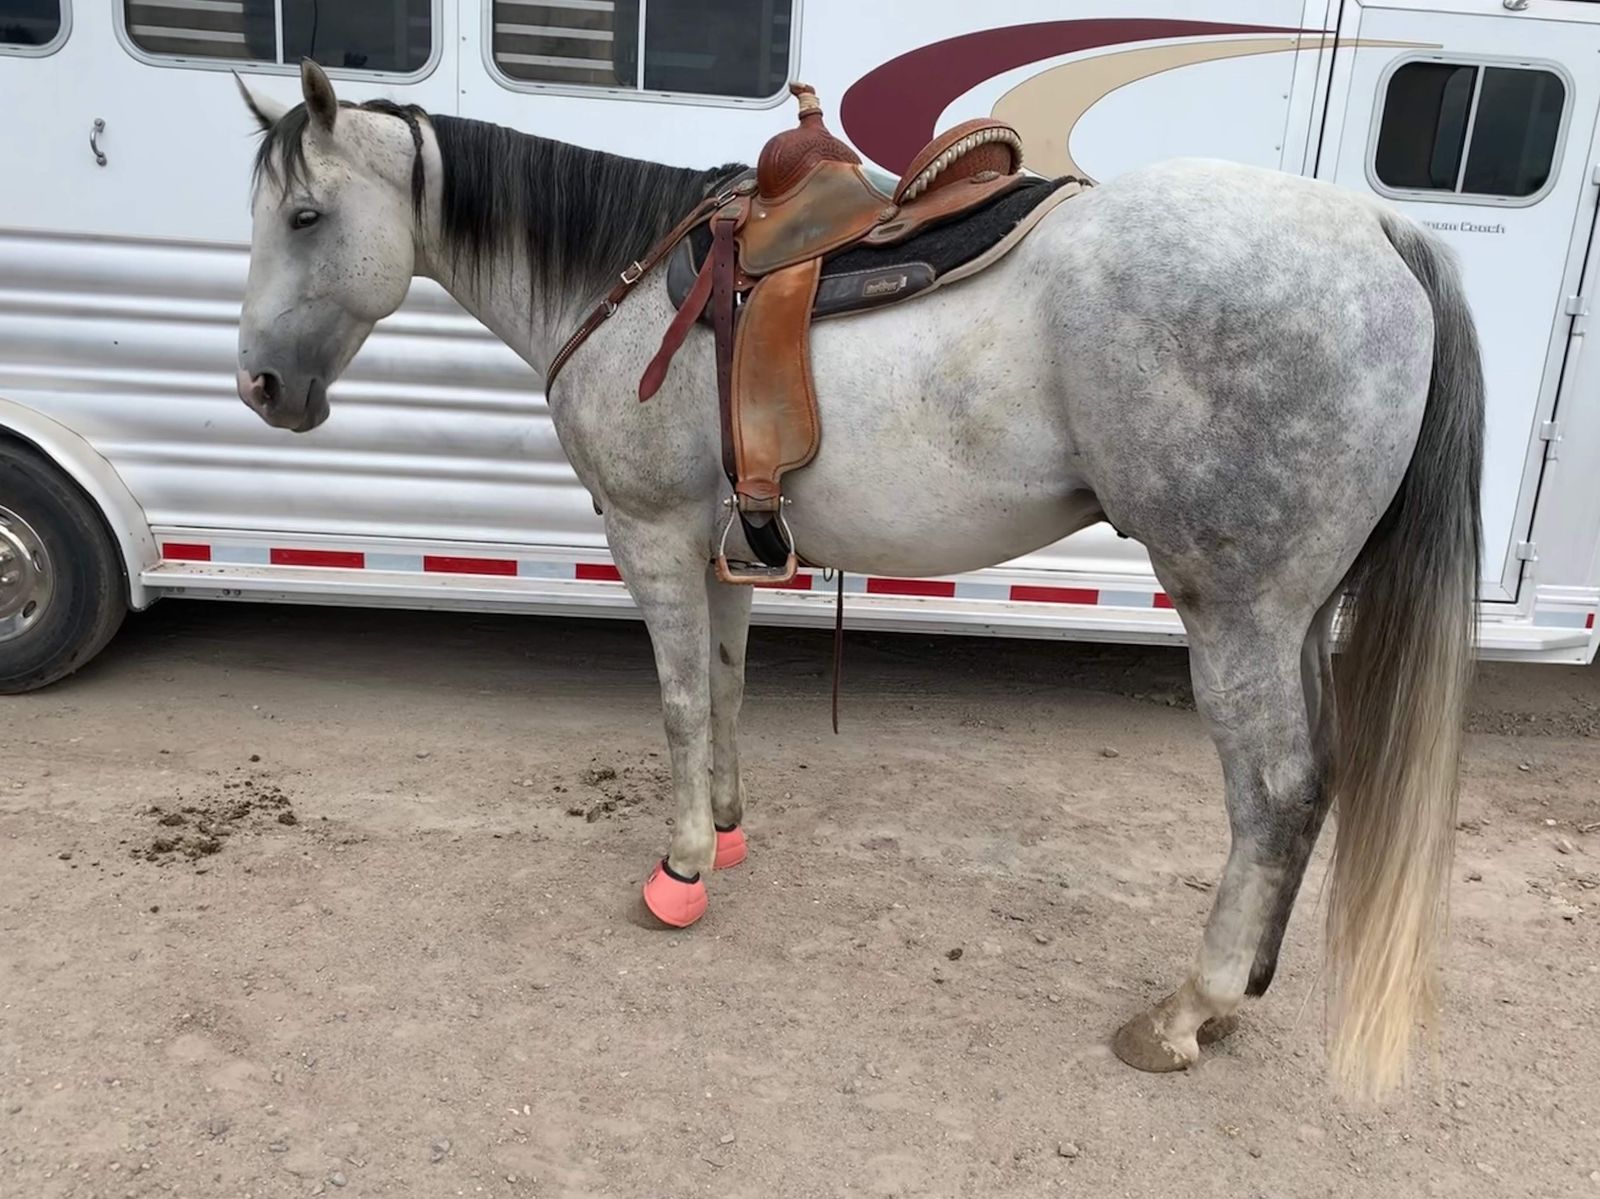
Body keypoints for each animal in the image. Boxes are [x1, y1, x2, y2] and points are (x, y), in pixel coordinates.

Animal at [231, 60, 1483, 1100]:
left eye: (304, 215)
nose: (260, 387)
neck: (623, 282)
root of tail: (1379, 228)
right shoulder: (724, 544)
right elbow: (726, 686)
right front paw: (727, 828)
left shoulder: (651, 534)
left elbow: (678, 701)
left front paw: (680, 871)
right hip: (1299, 610)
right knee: (1313, 782)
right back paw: (1236, 998)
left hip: (1236, 610)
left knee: (1272, 788)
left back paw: (1188, 1009)